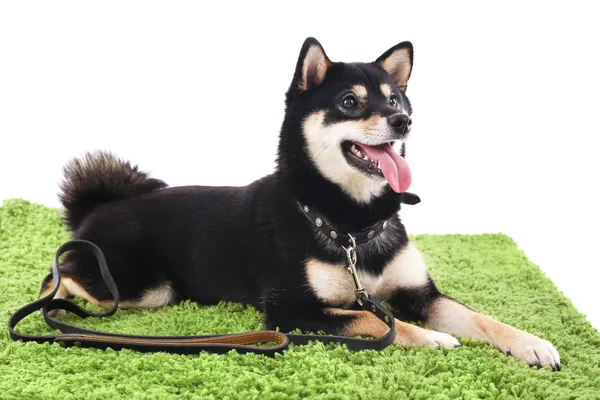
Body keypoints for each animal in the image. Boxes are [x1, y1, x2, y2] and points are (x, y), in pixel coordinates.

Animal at [39, 37, 560, 368]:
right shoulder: (292, 310)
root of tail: (95, 209)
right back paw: (56, 300)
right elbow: (372, 321)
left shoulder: (419, 293)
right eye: (350, 102)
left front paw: (531, 343)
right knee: (64, 276)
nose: (403, 122)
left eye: (397, 101)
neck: (350, 224)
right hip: (144, 288)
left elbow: (479, 317)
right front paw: (431, 337)